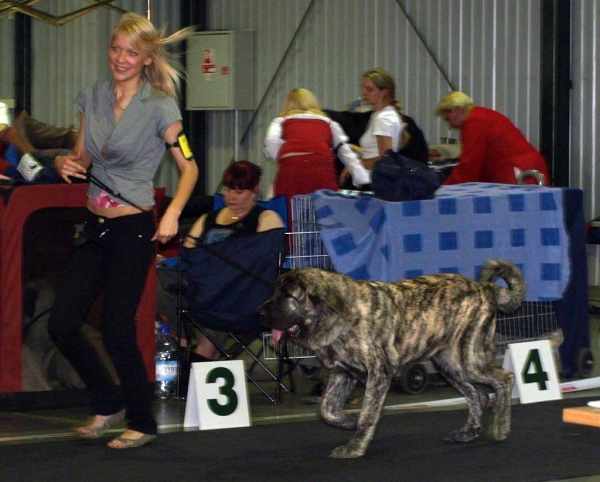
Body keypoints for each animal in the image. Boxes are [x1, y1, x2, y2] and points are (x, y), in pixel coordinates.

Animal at [260, 260, 524, 460]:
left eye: (288, 295)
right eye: (275, 292)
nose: (260, 312)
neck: (337, 315)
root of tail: (485, 287)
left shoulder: (379, 372)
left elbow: (367, 415)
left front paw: (355, 447)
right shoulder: (342, 372)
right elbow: (326, 408)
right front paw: (346, 421)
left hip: (469, 359)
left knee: (504, 379)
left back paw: (501, 428)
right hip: (449, 364)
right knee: (478, 395)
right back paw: (468, 432)